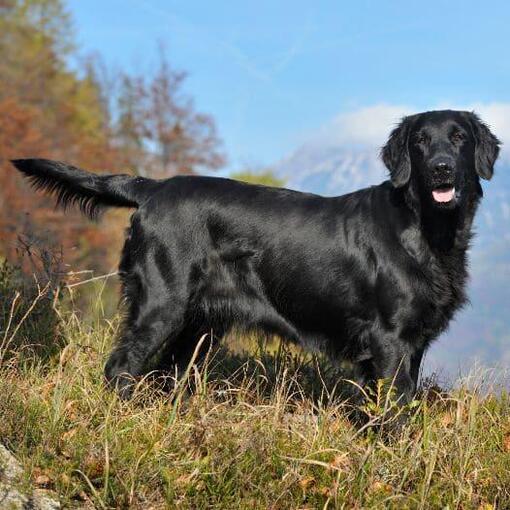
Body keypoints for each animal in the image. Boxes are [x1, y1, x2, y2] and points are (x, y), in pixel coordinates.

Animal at [9, 110, 500, 402]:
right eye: (420, 142)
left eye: (459, 138)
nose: (441, 168)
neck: (428, 229)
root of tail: (153, 188)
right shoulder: (390, 340)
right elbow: (393, 412)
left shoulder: (414, 343)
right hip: (161, 306)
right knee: (120, 367)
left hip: (197, 327)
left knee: (164, 373)